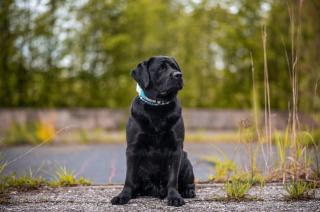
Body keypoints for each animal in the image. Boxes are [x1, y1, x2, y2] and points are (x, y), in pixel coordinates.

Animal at [110, 56, 195, 207]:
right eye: (161, 68)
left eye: (175, 68)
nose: (178, 75)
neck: (158, 107)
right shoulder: (133, 148)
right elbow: (129, 178)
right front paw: (123, 196)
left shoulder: (176, 149)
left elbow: (172, 178)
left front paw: (174, 197)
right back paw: (135, 192)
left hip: (186, 161)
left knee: (188, 182)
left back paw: (187, 191)